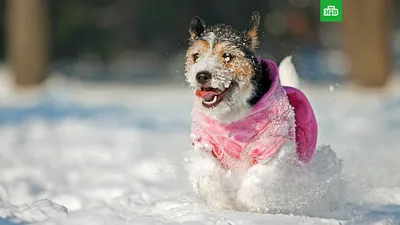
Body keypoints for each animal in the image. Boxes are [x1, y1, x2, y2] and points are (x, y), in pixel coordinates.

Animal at [184, 11, 318, 213]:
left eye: (227, 56)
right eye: (196, 55)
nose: (202, 75)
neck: (233, 114)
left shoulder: (271, 145)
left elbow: (256, 181)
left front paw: (248, 204)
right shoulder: (204, 144)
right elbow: (207, 177)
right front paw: (223, 203)